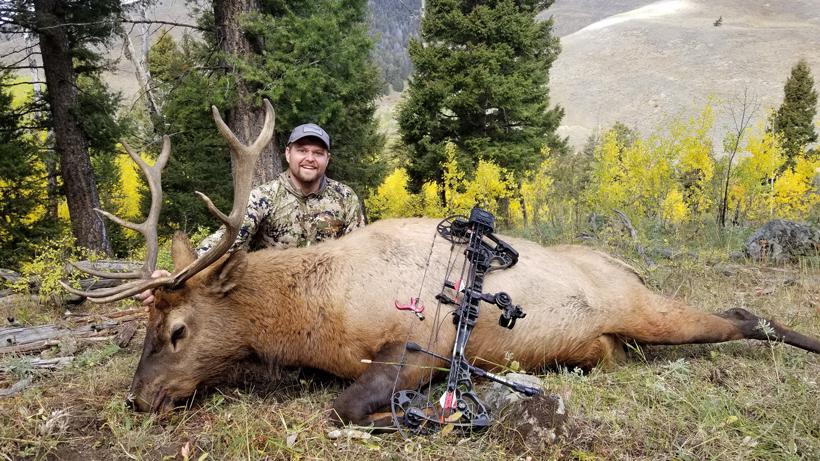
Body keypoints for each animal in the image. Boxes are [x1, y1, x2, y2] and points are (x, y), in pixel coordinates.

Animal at [63, 100, 820, 428]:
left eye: (179, 329)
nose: (138, 397)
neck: (313, 315)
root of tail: (621, 267)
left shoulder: (414, 344)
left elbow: (346, 402)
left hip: (644, 305)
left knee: (745, 312)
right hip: (609, 340)